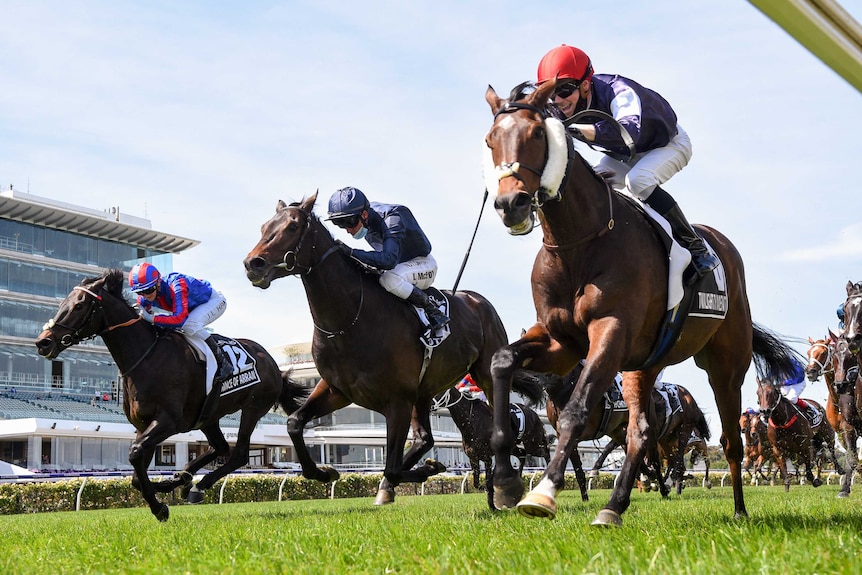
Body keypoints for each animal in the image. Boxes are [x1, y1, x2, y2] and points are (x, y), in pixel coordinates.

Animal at [34, 270, 310, 520]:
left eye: (79, 305)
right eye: (63, 303)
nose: (43, 342)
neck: (146, 357)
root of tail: (272, 363)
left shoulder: (168, 421)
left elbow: (135, 453)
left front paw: (159, 507)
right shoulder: (143, 424)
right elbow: (136, 469)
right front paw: (164, 488)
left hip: (253, 407)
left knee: (239, 453)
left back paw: (197, 485)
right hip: (208, 416)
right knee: (220, 446)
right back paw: (186, 478)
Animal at [243, 194, 540, 508]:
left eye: (293, 226)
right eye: (264, 226)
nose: (253, 263)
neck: (349, 321)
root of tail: (477, 300)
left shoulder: (397, 400)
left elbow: (392, 466)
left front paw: (427, 470)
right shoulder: (337, 389)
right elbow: (294, 422)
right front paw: (325, 472)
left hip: (482, 373)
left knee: (496, 420)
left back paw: (505, 484)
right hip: (425, 390)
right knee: (424, 439)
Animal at [486, 81, 804, 528]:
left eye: (534, 134)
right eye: (490, 140)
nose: (509, 204)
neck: (579, 243)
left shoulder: (611, 331)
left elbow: (576, 410)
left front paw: (544, 492)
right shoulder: (560, 342)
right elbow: (501, 361)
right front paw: (505, 482)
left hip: (725, 365)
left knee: (730, 441)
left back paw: (740, 509)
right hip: (644, 365)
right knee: (641, 431)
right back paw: (614, 505)